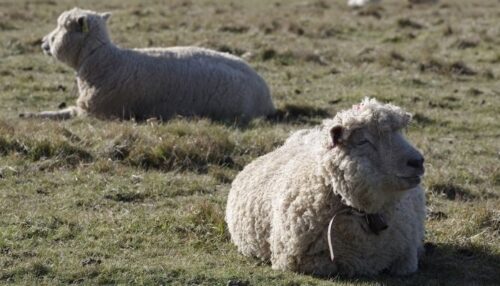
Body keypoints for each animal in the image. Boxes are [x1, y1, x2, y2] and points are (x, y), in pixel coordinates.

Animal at [20, 7, 278, 122]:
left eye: (62, 27)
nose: (43, 42)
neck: (105, 60)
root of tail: (267, 94)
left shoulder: (95, 112)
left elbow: (62, 114)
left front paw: (30, 114)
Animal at [227, 97, 426, 276]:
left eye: (401, 134)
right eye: (363, 141)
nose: (418, 161)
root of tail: (308, 132)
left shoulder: (406, 256)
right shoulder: (301, 261)